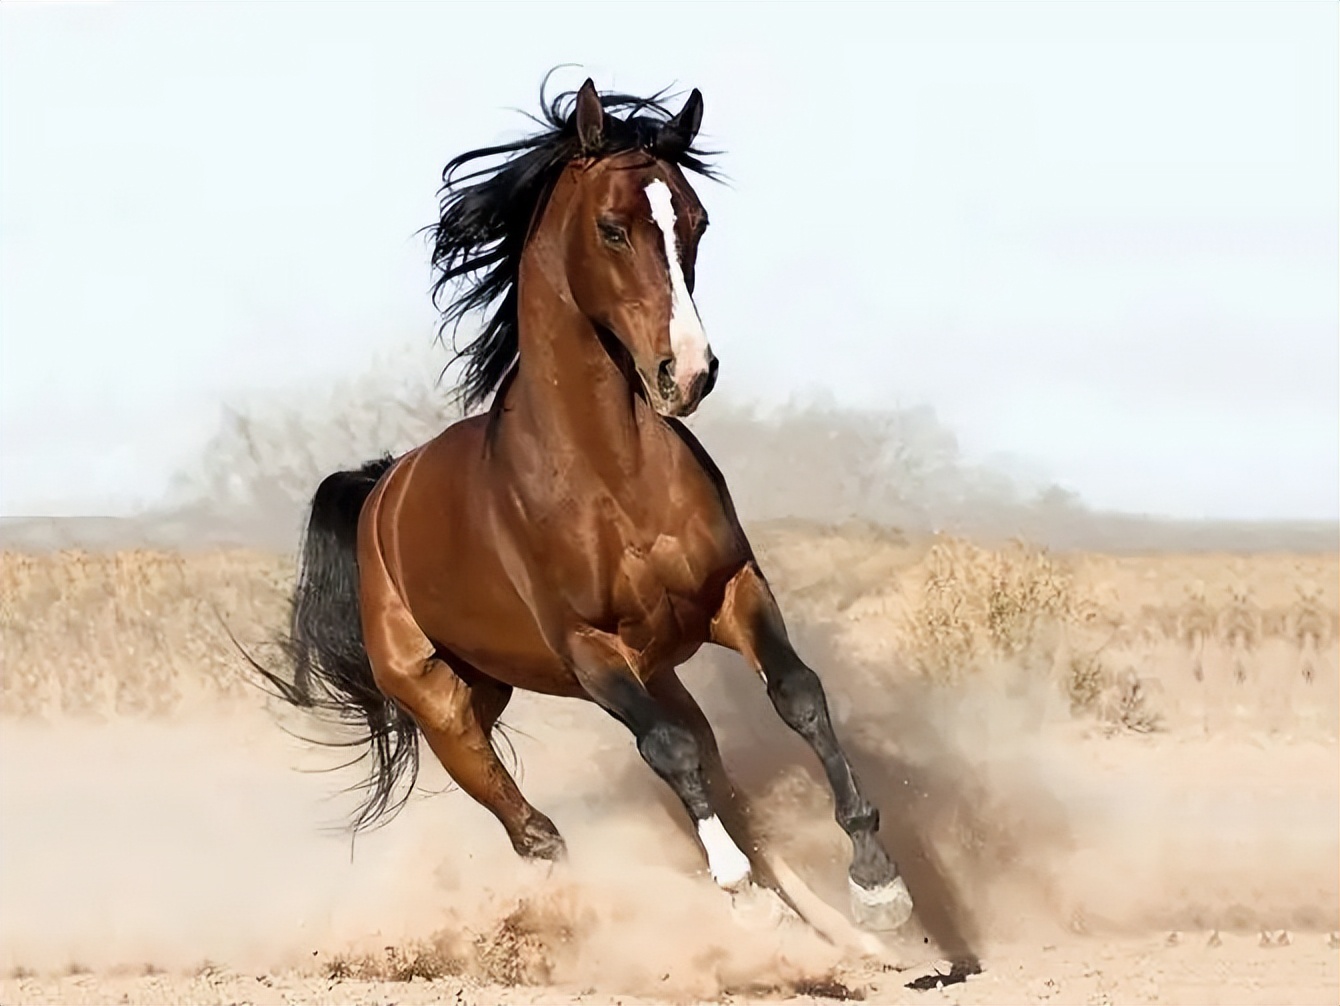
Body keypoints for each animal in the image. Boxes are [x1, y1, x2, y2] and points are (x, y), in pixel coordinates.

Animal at [257, 78, 916, 937]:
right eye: (612, 228)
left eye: (695, 221)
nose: (688, 373)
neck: (613, 476)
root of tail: (381, 492)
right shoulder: (588, 649)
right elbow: (667, 751)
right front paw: (737, 885)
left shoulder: (733, 591)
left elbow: (798, 696)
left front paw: (876, 881)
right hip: (445, 706)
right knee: (534, 828)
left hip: (612, 673)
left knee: (704, 762)